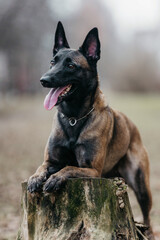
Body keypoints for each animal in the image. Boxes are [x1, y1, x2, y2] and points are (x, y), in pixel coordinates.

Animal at [27, 22, 154, 238]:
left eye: (71, 65)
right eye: (53, 62)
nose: (44, 80)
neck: (74, 118)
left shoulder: (92, 170)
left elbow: (69, 168)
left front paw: (55, 179)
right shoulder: (51, 161)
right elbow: (41, 167)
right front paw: (36, 178)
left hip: (141, 187)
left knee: (147, 219)